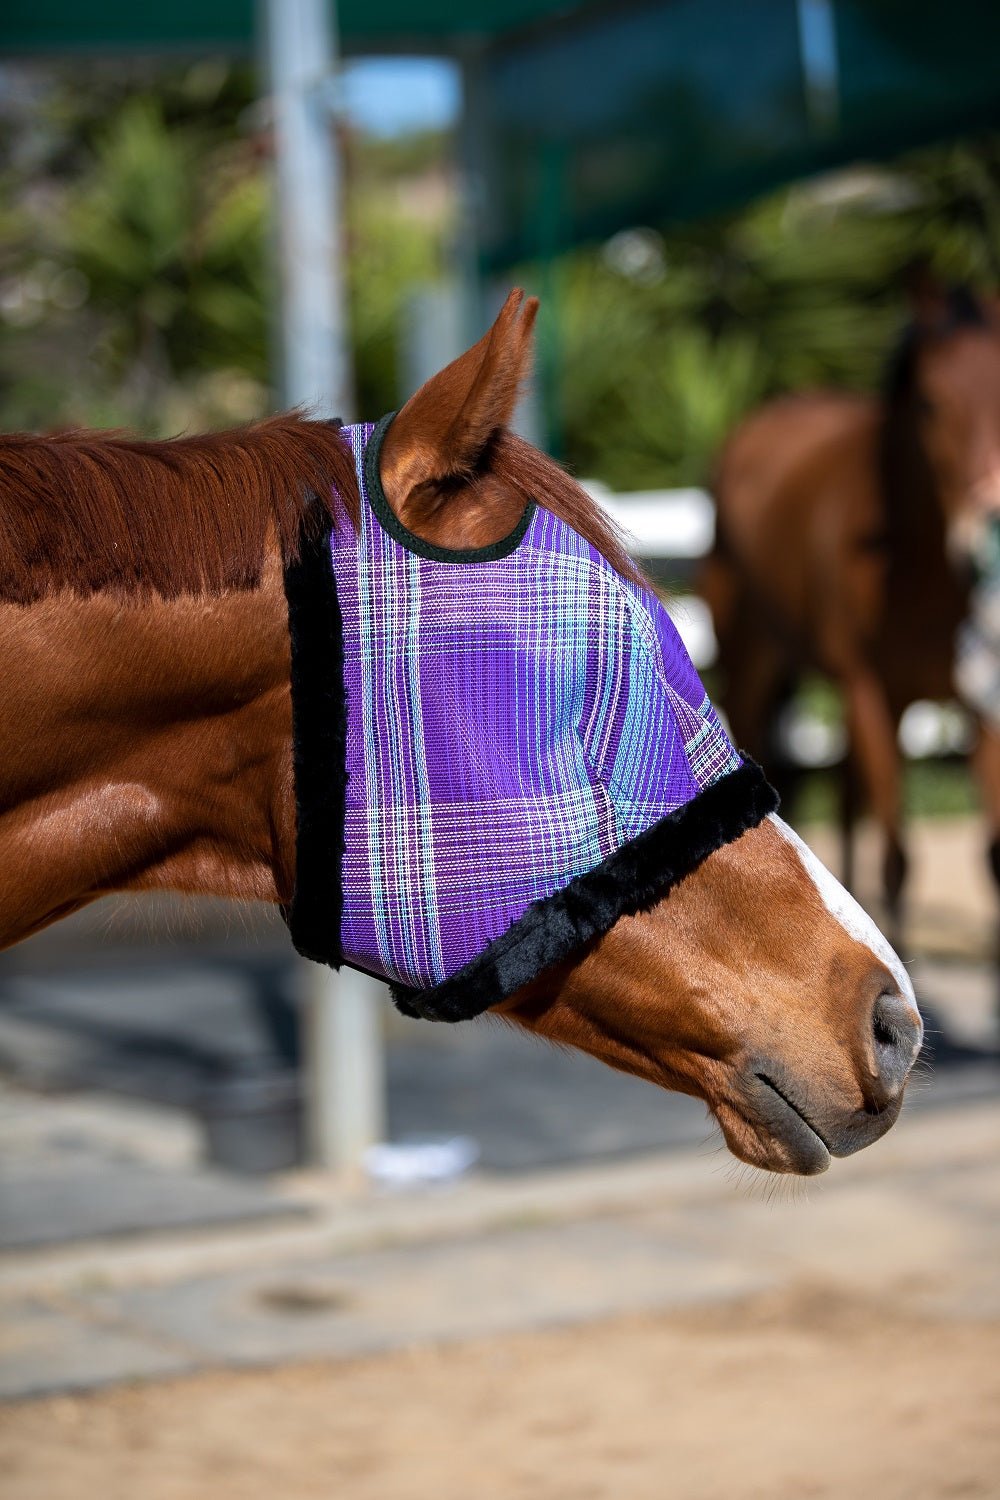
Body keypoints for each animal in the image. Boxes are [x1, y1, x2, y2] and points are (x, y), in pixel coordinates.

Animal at [701, 286, 1000, 954]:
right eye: (929, 403)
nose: (985, 535)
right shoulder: (871, 694)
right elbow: (898, 859)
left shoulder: (981, 707)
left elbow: (992, 856)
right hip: (756, 664)